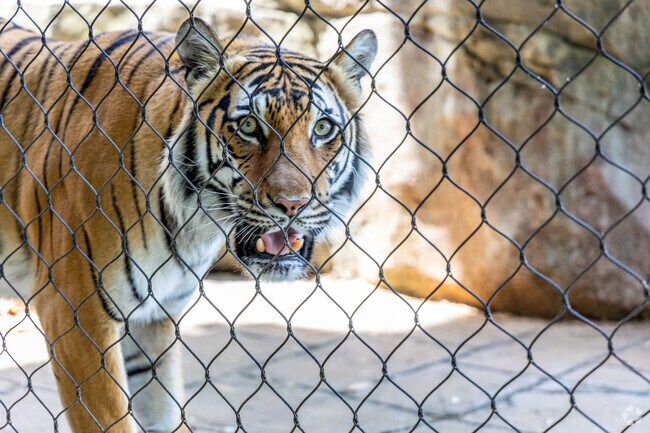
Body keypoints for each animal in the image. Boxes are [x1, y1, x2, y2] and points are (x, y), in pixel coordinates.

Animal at [0, 16, 376, 433]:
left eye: (323, 129)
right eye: (249, 126)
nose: (293, 204)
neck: (192, 225)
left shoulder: (153, 319)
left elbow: (163, 412)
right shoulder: (75, 316)